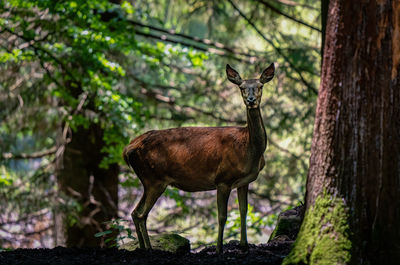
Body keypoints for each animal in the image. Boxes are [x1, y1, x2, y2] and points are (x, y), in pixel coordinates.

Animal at [124, 63, 276, 253]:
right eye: (241, 87)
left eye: (260, 86)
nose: (251, 100)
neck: (249, 150)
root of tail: (128, 148)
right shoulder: (223, 179)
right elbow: (222, 216)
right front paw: (219, 249)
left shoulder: (244, 181)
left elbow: (243, 211)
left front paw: (244, 246)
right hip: (153, 178)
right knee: (141, 214)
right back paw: (149, 249)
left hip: (148, 180)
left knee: (135, 212)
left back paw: (143, 248)